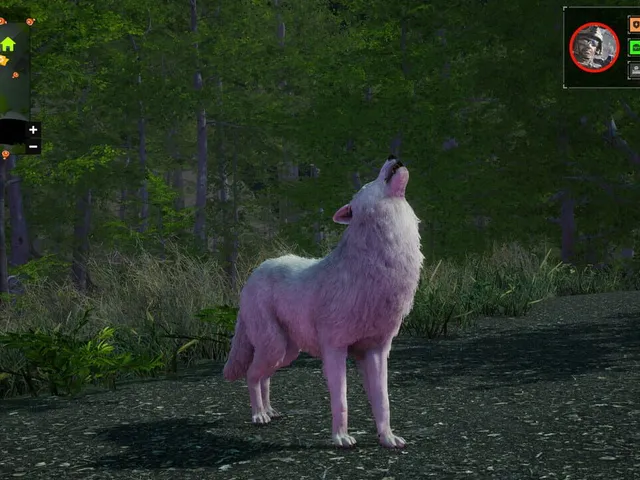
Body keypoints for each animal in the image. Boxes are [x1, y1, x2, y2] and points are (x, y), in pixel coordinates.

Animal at [223, 155, 424, 448]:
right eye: (368, 182)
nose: (392, 156)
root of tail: (254, 272)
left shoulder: (377, 351)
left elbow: (383, 401)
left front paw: (387, 438)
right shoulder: (334, 349)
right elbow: (341, 400)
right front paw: (341, 438)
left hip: (286, 353)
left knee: (264, 376)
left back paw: (270, 410)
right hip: (275, 347)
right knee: (251, 374)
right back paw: (259, 414)